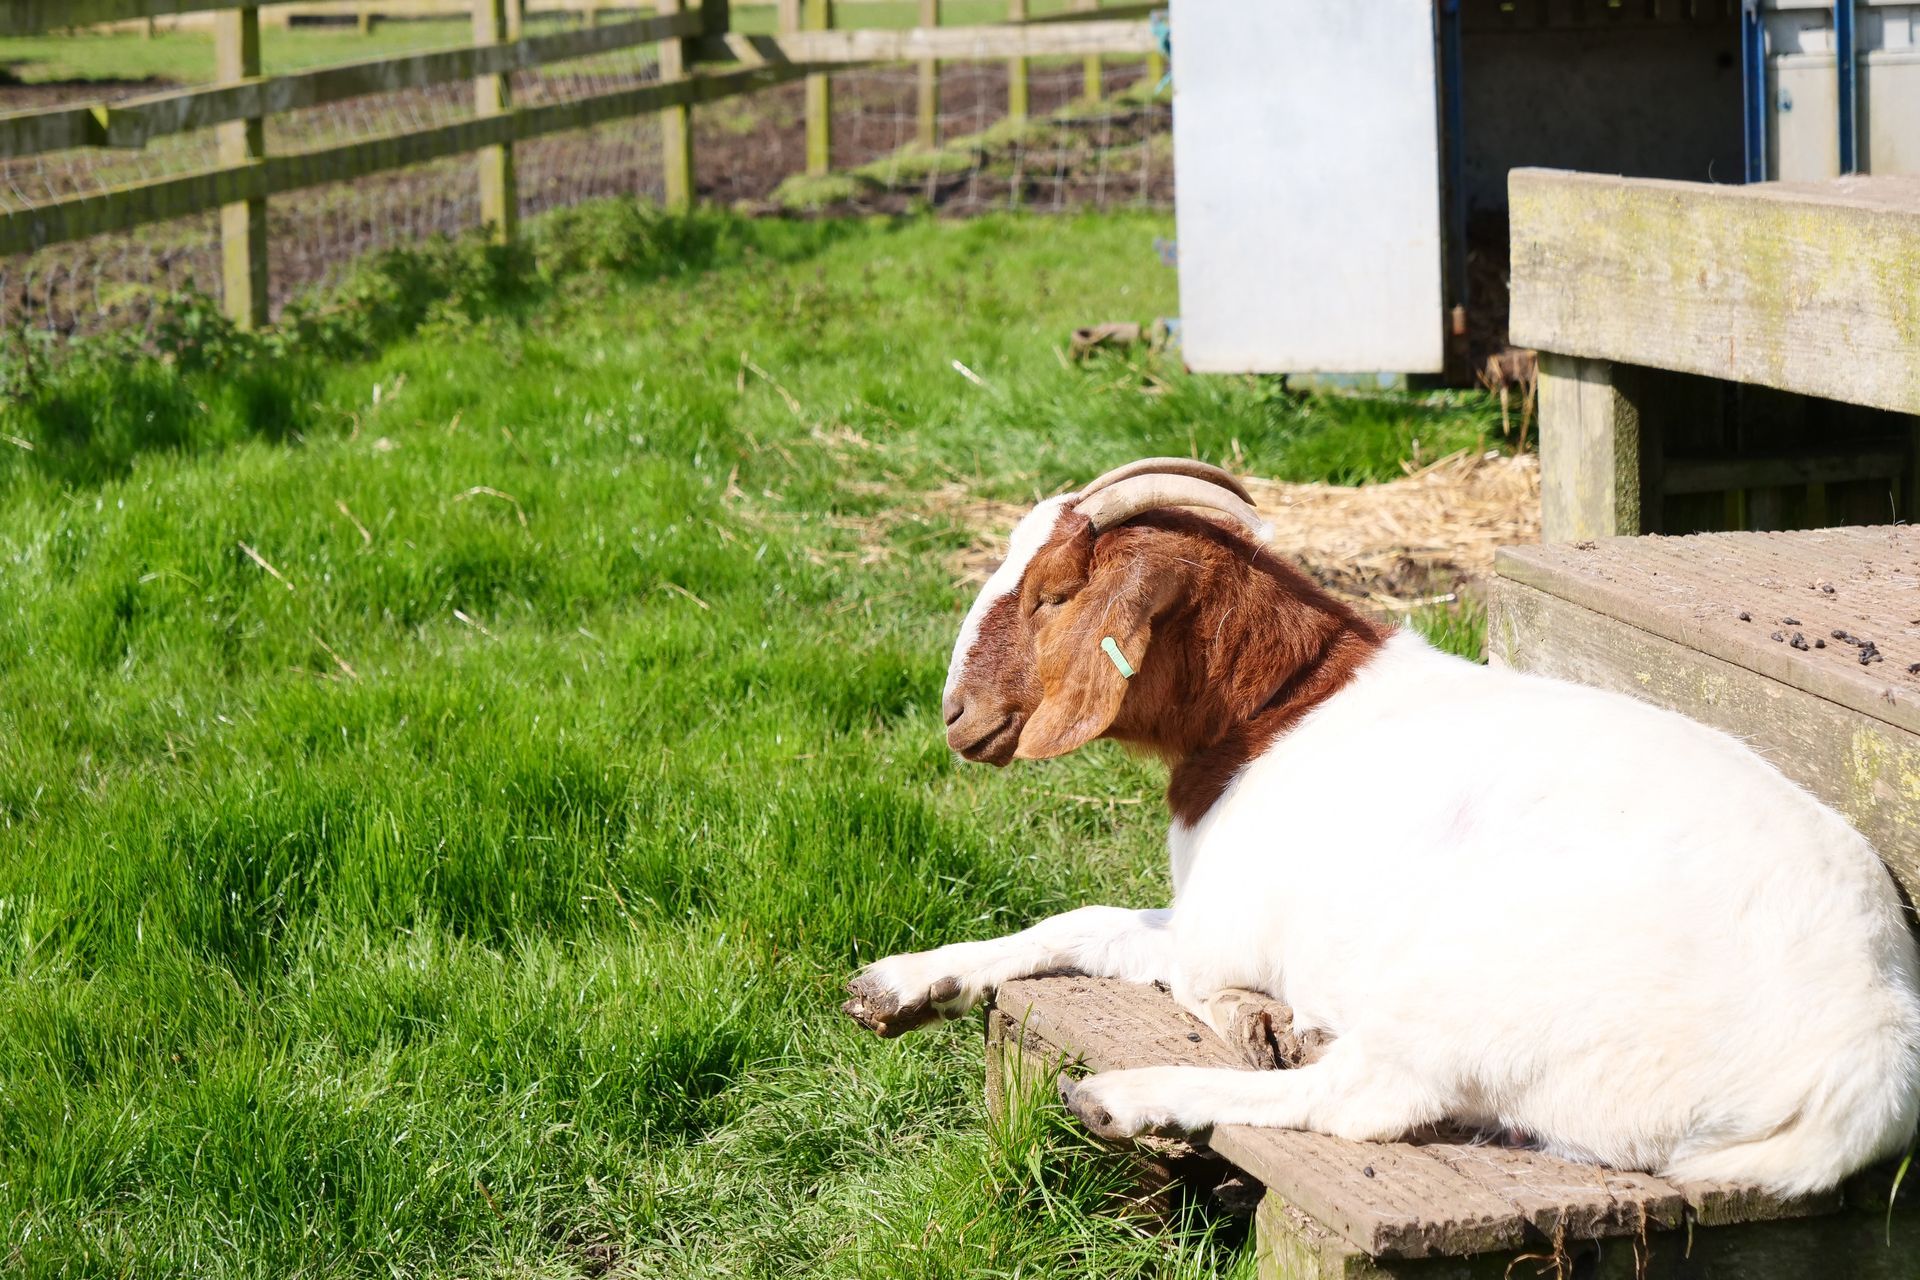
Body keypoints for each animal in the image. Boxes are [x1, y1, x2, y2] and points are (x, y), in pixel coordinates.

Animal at [844, 457, 1920, 1196]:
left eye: (1055, 594)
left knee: (1364, 1098)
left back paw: (1129, 1095)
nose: (955, 716)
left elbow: (1111, 934)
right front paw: (899, 985)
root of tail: (1867, 1065)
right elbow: (1068, 924)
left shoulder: (1216, 934)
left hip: (1478, 983)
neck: (1279, 708)